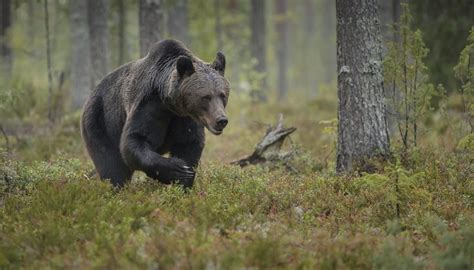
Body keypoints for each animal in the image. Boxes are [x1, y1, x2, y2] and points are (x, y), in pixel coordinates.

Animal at [80, 39, 231, 188]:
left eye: (222, 95)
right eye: (205, 97)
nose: (221, 120)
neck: (170, 104)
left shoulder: (185, 117)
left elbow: (189, 143)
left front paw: (185, 180)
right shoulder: (149, 105)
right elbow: (135, 139)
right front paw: (177, 170)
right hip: (100, 121)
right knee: (112, 166)